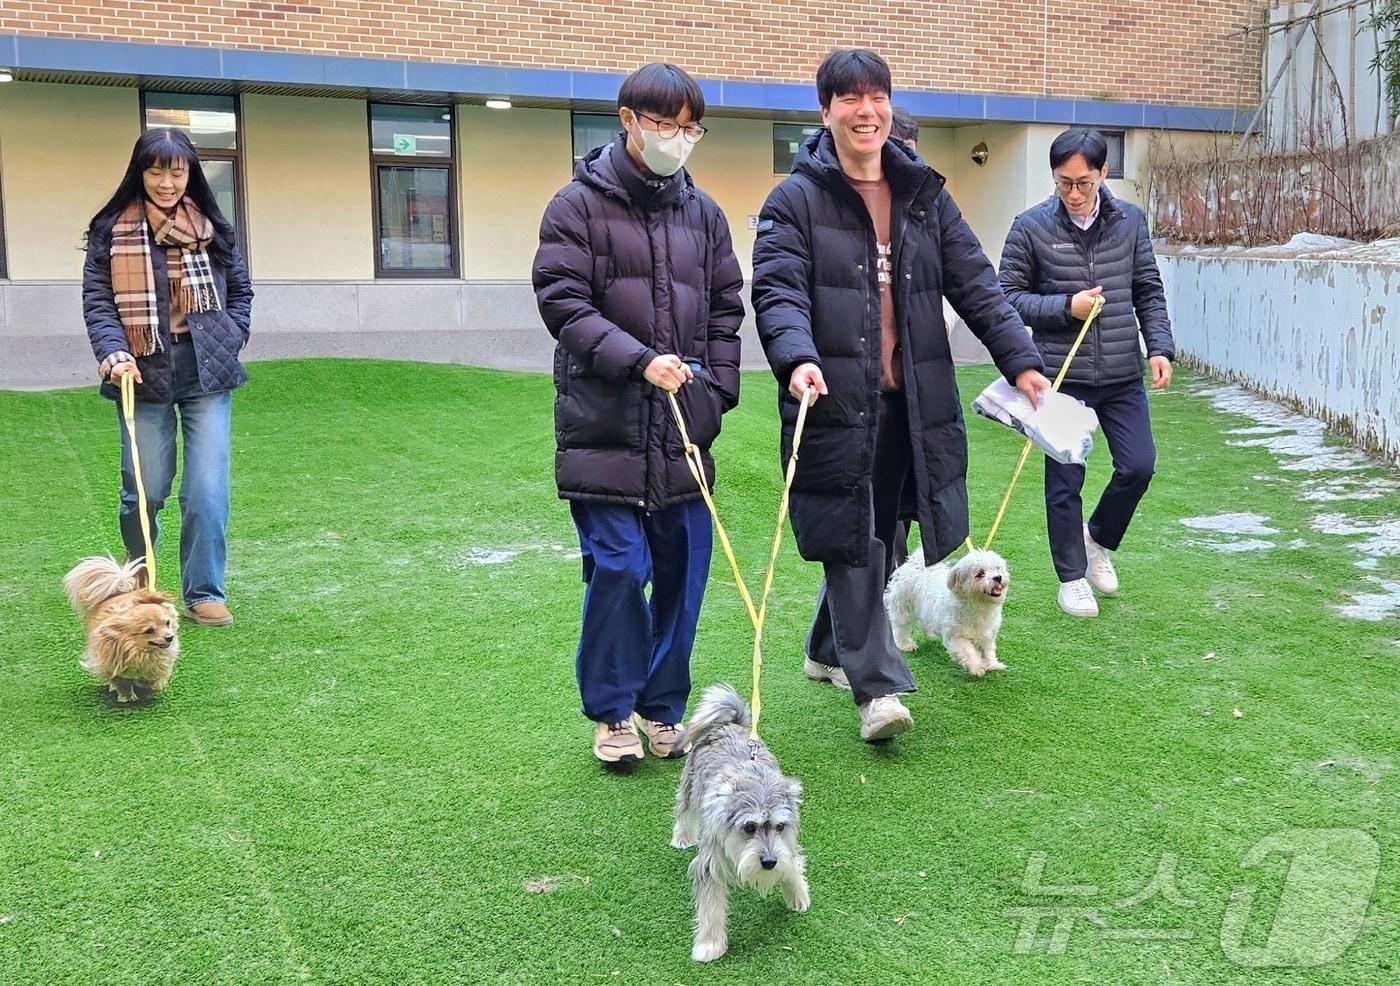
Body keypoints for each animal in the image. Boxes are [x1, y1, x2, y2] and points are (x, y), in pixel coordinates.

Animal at [62, 554, 180, 700]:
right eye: (149, 631)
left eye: (167, 623)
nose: (170, 637)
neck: (140, 651)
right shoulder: (113, 665)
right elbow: (121, 681)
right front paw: (126, 696)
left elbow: (156, 675)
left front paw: (153, 685)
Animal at [674, 686, 817, 963]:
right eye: (749, 827)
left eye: (780, 827)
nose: (769, 862)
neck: (756, 782)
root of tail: (731, 724)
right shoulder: (709, 865)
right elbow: (711, 909)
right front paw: (709, 945)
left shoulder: (787, 846)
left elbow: (793, 864)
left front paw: (797, 894)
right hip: (690, 785)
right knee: (683, 810)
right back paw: (682, 837)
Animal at [884, 546, 1008, 677]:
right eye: (980, 574)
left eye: (998, 568)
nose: (998, 577)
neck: (979, 605)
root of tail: (915, 564)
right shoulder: (956, 636)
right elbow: (968, 651)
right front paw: (977, 666)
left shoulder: (988, 633)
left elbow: (988, 650)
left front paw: (993, 664)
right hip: (903, 608)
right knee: (900, 628)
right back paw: (905, 645)